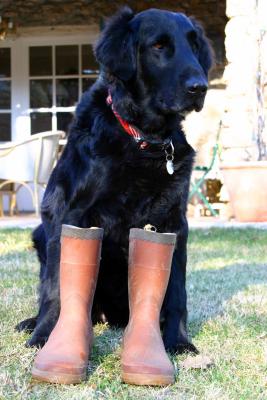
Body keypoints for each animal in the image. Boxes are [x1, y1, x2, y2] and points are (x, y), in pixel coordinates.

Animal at [16, 7, 214, 354]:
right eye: (158, 46)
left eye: (193, 44)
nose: (199, 87)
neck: (142, 139)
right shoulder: (69, 215)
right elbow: (56, 289)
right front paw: (44, 337)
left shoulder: (174, 223)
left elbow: (177, 290)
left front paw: (178, 341)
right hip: (40, 235)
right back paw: (33, 322)